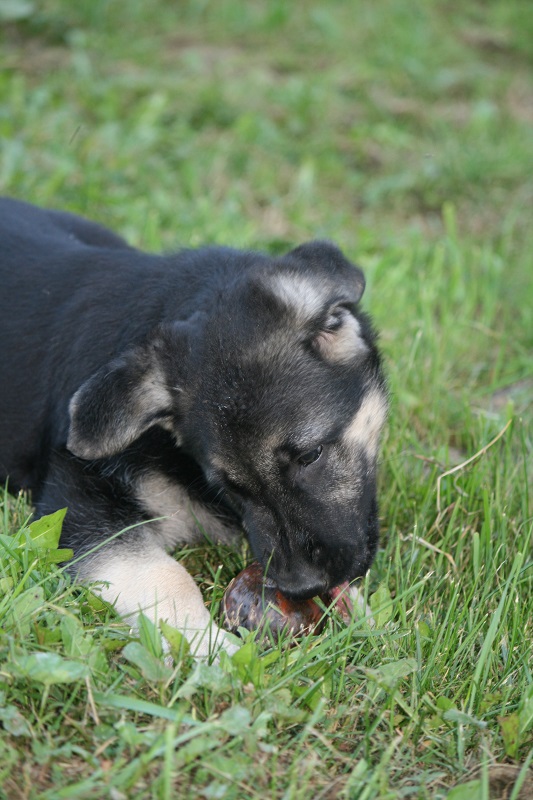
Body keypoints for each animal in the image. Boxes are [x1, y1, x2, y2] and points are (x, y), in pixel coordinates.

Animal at [0, 200, 386, 656]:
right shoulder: (77, 501)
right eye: (230, 486)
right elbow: (166, 578)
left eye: (310, 455)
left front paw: (365, 617)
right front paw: (214, 651)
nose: (301, 587)